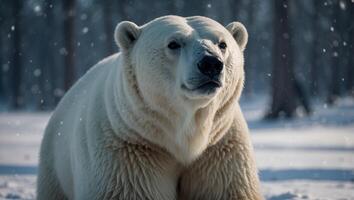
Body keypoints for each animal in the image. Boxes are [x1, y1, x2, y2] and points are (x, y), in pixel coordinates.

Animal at [36, 15, 262, 200]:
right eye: (173, 44)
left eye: (222, 43)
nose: (211, 63)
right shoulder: (130, 151)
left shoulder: (220, 148)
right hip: (54, 166)